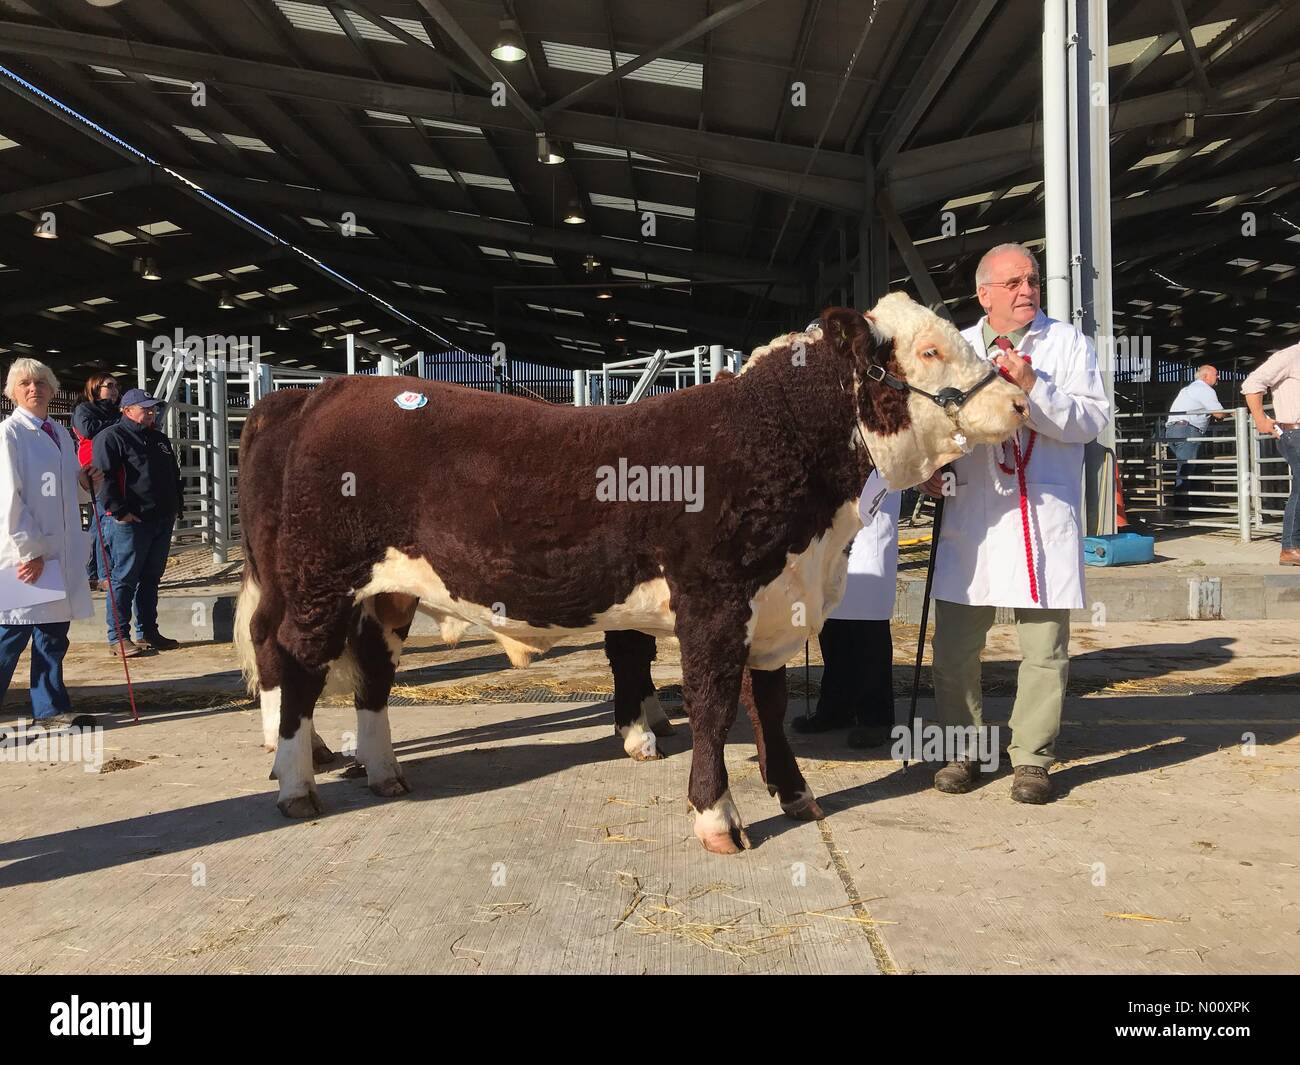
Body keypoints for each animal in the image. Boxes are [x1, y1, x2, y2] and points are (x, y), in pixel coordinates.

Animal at [236, 295, 1028, 853]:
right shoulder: (713, 603)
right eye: (929, 349)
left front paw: (794, 793)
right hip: (318, 580)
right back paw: (296, 782)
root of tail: (327, 391)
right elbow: (711, 707)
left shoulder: (774, 608)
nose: (1019, 400)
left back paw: (383, 772)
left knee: (370, 670)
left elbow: (768, 705)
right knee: (290, 660)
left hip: (386, 592)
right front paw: (716, 815)